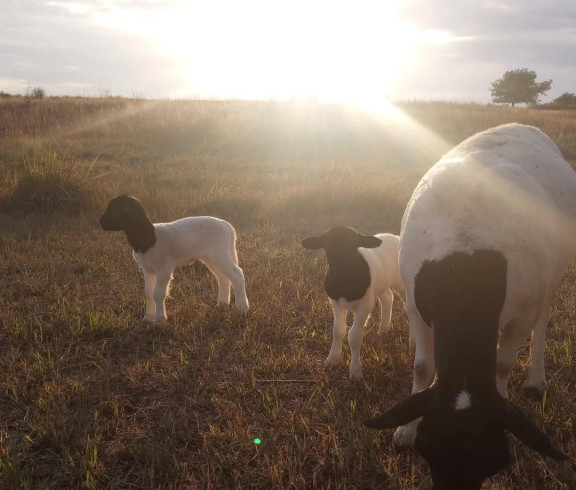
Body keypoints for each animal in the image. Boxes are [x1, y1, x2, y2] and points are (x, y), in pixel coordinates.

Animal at [100, 193, 249, 324]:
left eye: (117, 210)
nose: (101, 222)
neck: (148, 237)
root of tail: (229, 227)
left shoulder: (163, 269)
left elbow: (158, 293)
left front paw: (160, 320)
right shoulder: (147, 269)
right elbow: (148, 292)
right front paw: (147, 318)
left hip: (220, 253)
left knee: (237, 274)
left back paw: (242, 307)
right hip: (211, 257)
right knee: (223, 277)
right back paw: (222, 304)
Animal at [302, 228, 404, 380]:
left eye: (354, 246)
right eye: (328, 247)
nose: (343, 267)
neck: (346, 283)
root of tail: (395, 237)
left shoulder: (365, 306)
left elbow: (354, 336)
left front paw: (355, 370)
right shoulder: (336, 303)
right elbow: (338, 330)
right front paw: (332, 359)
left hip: (402, 283)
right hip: (381, 284)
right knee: (388, 297)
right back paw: (383, 330)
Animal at [364, 124, 572, 488]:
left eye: (495, 462)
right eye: (428, 450)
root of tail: (520, 126)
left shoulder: (521, 314)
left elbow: (502, 365)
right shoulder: (416, 307)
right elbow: (422, 367)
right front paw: (404, 431)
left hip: (552, 277)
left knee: (544, 319)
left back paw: (536, 378)